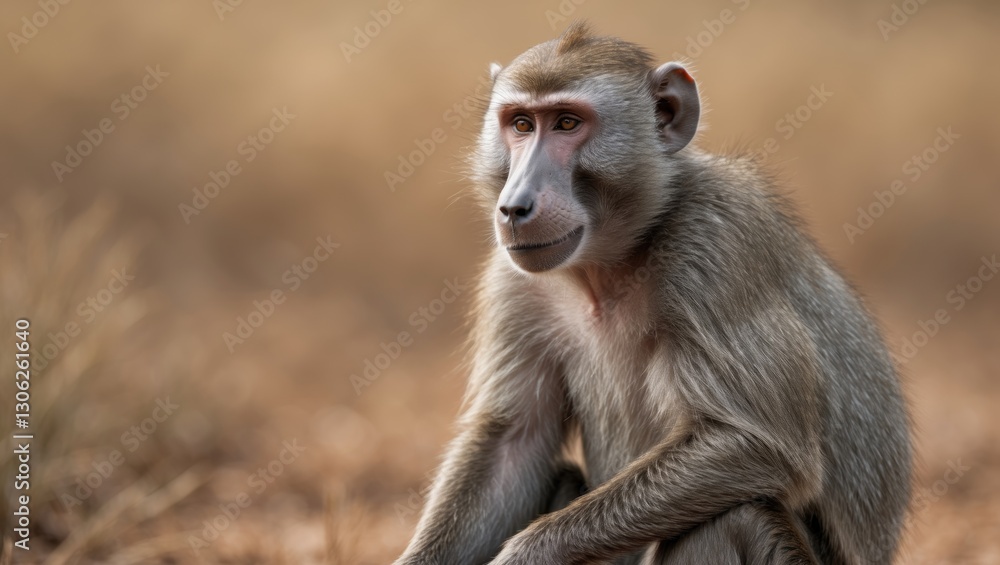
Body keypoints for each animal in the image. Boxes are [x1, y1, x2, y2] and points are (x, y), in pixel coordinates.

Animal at [394, 22, 911, 565]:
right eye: (520, 124)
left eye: (566, 123)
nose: (515, 206)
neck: (610, 266)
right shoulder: (514, 280)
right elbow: (512, 443)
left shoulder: (716, 243)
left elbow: (758, 445)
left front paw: (525, 556)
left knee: (733, 514)